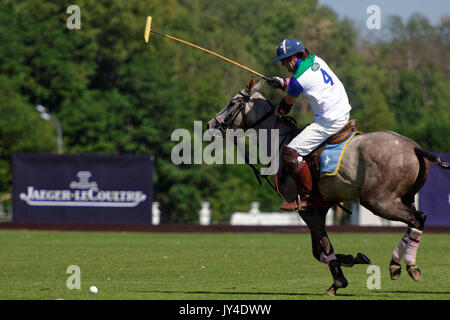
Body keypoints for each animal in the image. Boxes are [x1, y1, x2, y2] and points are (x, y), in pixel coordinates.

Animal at [207, 79, 446, 296]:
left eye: (232, 102)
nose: (211, 124)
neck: (280, 142)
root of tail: (414, 147)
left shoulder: (306, 208)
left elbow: (322, 245)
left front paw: (338, 281)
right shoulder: (321, 206)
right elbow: (319, 249)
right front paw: (353, 259)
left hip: (377, 200)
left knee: (418, 218)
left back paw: (408, 265)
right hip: (405, 196)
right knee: (414, 220)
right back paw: (396, 264)